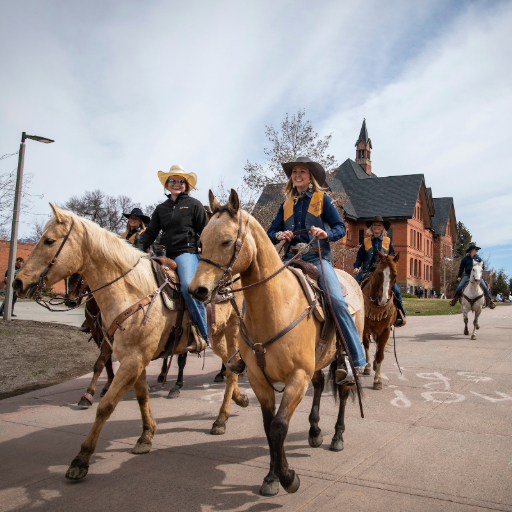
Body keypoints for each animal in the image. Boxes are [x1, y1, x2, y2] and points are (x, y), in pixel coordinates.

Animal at [13, 205, 248, 480]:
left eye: (49, 241)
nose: (18, 282)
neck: (132, 291)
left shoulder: (133, 359)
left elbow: (106, 405)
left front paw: (81, 458)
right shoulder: (131, 356)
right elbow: (140, 395)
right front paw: (146, 436)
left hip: (232, 331)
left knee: (232, 368)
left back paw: (221, 419)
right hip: (218, 336)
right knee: (232, 367)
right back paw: (238, 400)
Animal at [188, 191, 364, 496]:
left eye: (226, 241)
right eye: (202, 239)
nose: (196, 290)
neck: (276, 307)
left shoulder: (297, 377)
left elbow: (280, 427)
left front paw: (287, 478)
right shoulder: (259, 379)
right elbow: (269, 427)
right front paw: (272, 477)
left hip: (344, 358)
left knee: (343, 390)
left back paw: (337, 436)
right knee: (320, 385)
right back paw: (315, 432)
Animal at [360, 251, 400, 388]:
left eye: (395, 275)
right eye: (379, 273)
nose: (384, 300)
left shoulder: (385, 330)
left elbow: (380, 354)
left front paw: (377, 379)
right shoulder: (365, 328)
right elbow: (366, 345)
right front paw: (369, 368)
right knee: (366, 344)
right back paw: (367, 366)